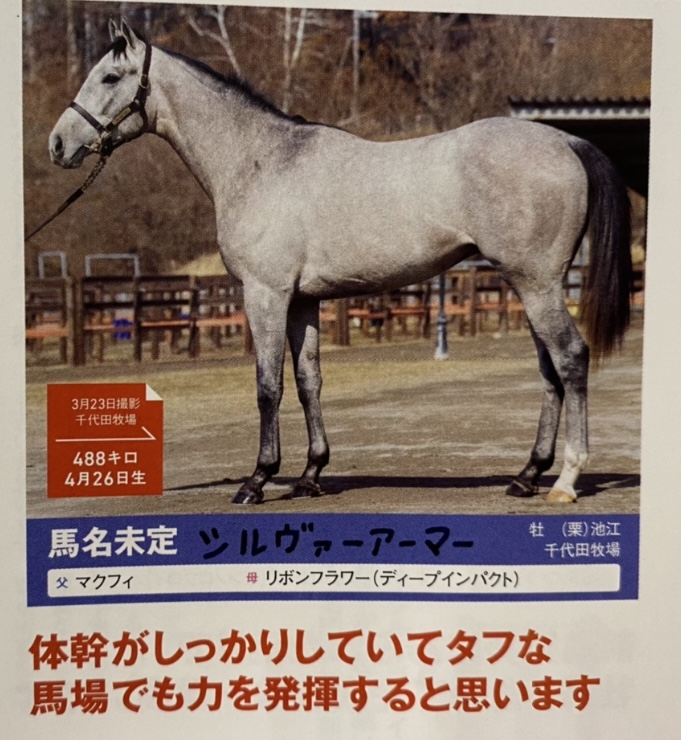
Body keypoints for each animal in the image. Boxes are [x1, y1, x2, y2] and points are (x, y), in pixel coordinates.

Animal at [48, 20, 632, 505]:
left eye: (110, 76)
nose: (57, 145)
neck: (260, 161)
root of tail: (566, 139)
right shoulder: (303, 301)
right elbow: (309, 381)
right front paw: (310, 475)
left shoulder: (265, 294)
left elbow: (268, 386)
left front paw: (257, 480)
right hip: (529, 284)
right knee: (550, 370)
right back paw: (526, 475)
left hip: (537, 284)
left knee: (571, 358)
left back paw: (565, 480)